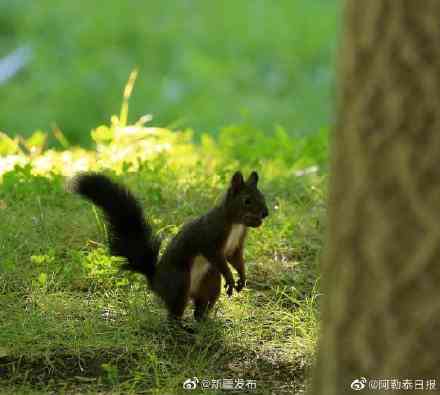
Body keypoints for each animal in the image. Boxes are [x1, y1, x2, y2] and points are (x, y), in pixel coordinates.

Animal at [71, 172, 268, 324]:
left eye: (262, 196)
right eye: (247, 201)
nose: (266, 213)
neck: (236, 223)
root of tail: (156, 281)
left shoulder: (236, 245)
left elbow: (236, 259)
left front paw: (242, 278)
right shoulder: (209, 238)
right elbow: (217, 257)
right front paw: (230, 277)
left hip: (210, 282)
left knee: (201, 306)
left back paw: (204, 322)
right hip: (180, 281)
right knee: (174, 312)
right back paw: (180, 326)